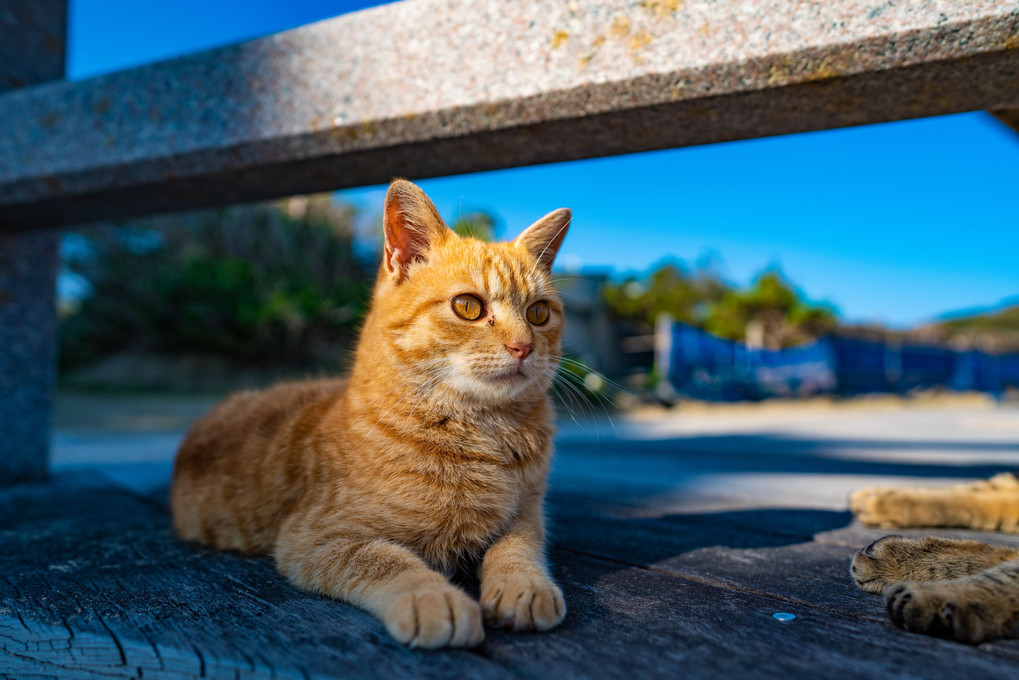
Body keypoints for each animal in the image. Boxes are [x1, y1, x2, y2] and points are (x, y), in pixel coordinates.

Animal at [175, 179, 574, 648]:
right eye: (469, 307)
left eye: (539, 313)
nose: (523, 347)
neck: (481, 431)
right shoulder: (317, 537)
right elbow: (389, 560)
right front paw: (434, 598)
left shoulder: (529, 510)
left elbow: (519, 545)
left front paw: (523, 585)